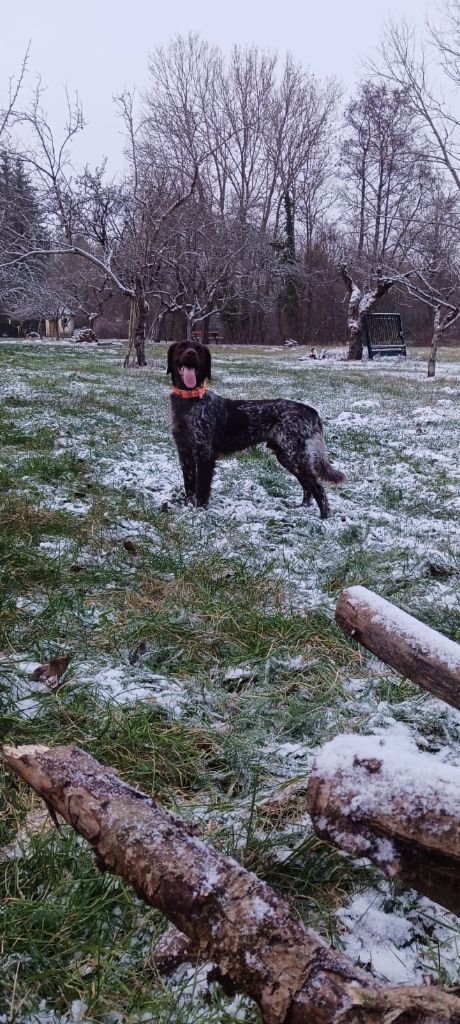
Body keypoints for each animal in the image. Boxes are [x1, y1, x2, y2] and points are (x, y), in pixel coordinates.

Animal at [165, 342, 344, 516]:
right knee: (307, 486)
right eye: (182, 347)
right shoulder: (185, 454)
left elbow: (201, 489)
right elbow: (189, 486)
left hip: (296, 457)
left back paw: (325, 517)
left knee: (317, 487)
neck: (190, 400)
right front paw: (188, 507)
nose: (191, 353)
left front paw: (199, 513)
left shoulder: (205, 455)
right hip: (287, 457)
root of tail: (311, 411)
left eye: (199, 350)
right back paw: (301, 508)